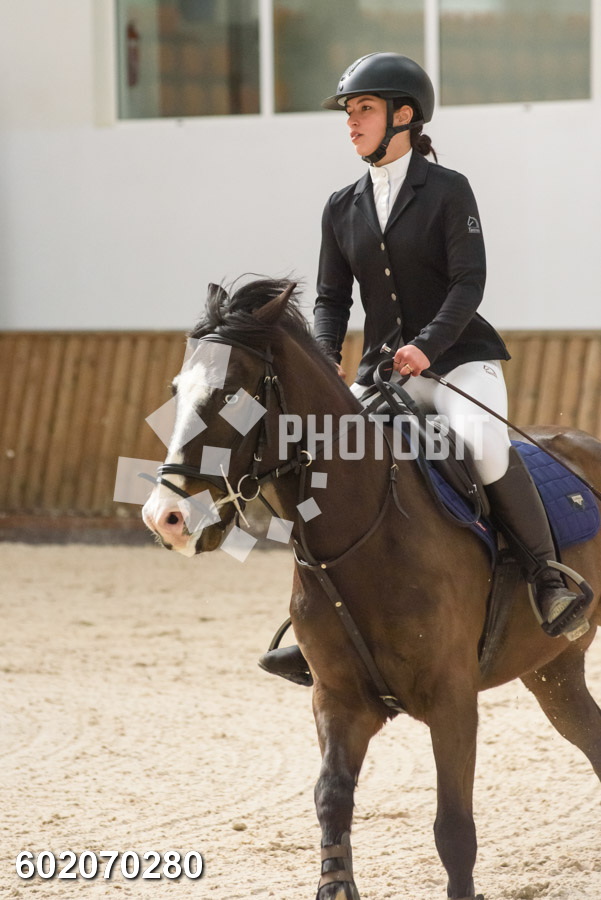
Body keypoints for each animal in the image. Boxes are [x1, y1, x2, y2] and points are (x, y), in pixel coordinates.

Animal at [141, 278, 601, 900]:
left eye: (232, 395)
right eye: (176, 390)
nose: (165, 518)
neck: (364, 532)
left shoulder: (453, 699)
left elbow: (454, 829)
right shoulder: (338, 698)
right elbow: (331, 798)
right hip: (553, 671)